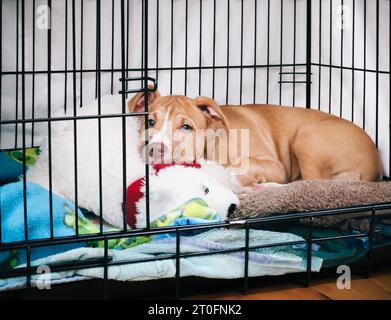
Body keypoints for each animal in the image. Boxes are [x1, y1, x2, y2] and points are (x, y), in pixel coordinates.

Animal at [128, 89, 382, 188]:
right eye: (150, 122)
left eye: (186, 127)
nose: (154, 149)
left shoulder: (276, 166)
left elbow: (236, 168)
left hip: (307, 137)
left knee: (311, 183)